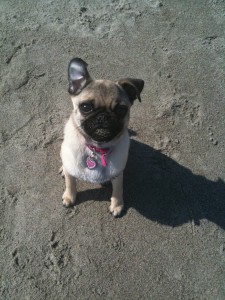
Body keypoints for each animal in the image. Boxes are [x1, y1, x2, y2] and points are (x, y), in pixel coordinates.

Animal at [59, 56, 144, 216]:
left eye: (121, 110)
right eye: (85, 107)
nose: (103, 116)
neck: (96, 148)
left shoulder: (118, 173)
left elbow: (118, 188)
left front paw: (117, 205)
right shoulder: (71, 173)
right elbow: (70, 183)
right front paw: (69, 197)